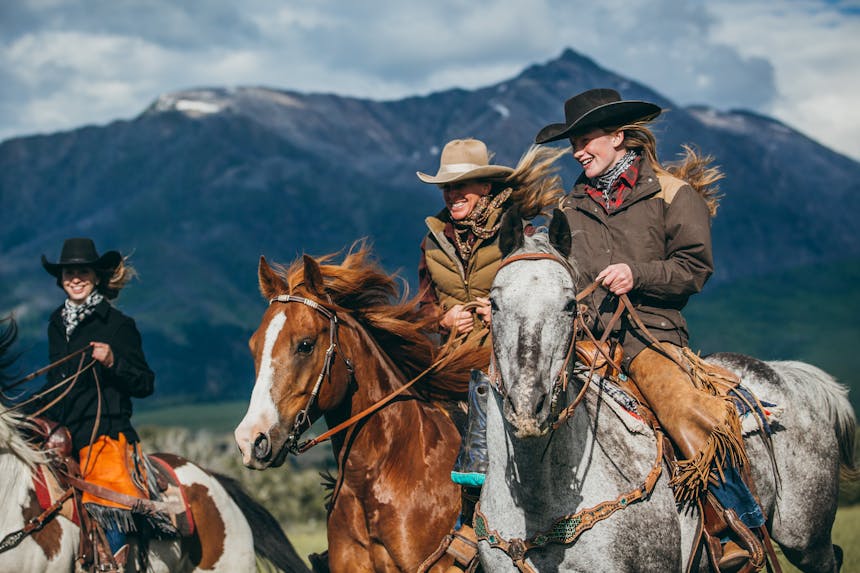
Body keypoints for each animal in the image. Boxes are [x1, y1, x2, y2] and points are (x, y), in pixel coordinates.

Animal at [478, 211, 852, 572]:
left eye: (570, 305)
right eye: (493, 303)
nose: (528, 406)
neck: (539, 502)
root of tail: (787, 373)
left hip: (806, 540)